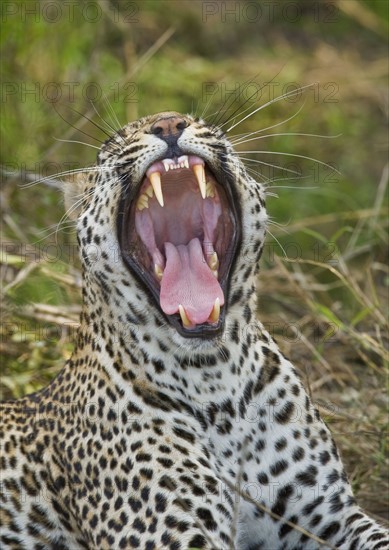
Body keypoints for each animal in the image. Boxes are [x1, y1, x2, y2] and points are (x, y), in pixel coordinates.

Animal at [0, 110, 388, 548]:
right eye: (111, 146)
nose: (168, 123)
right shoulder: (171, 535)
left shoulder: (330, 516)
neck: (219, 384)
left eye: (202, 124)